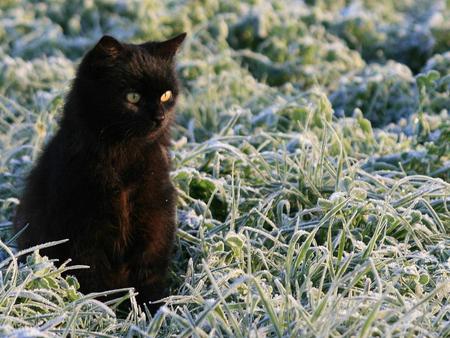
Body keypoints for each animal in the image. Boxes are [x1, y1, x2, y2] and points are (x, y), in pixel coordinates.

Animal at [14, 32, 186, 312]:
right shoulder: (85, 230)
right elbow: (94, 279)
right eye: (133, 97)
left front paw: (151, 312)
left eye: (166, 95)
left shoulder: (154, 219)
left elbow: (148, 273)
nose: (160, 117)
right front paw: (103, 313)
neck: (123, 155)